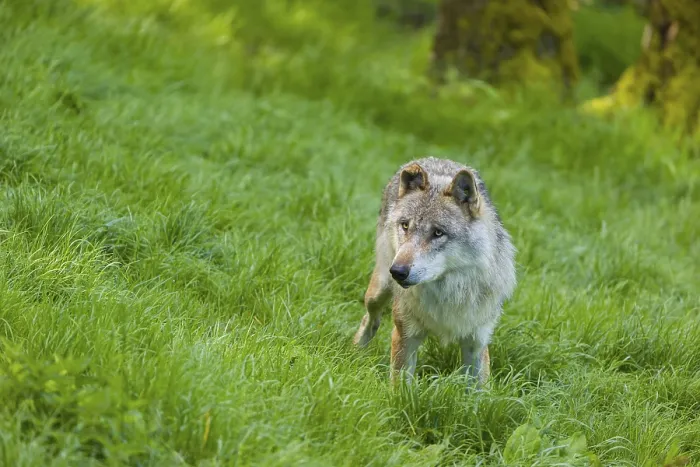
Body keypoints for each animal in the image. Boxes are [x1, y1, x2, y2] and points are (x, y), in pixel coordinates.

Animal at [353, 157, 516, 386]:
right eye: (405, 225)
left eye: (438, 233)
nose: (398, 271)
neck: (449, 293)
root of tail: (433, 159)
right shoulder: (405, 334)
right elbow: (400, 388)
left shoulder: (477, 341)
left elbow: (480, 391)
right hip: (378, 291)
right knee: (370, 317)